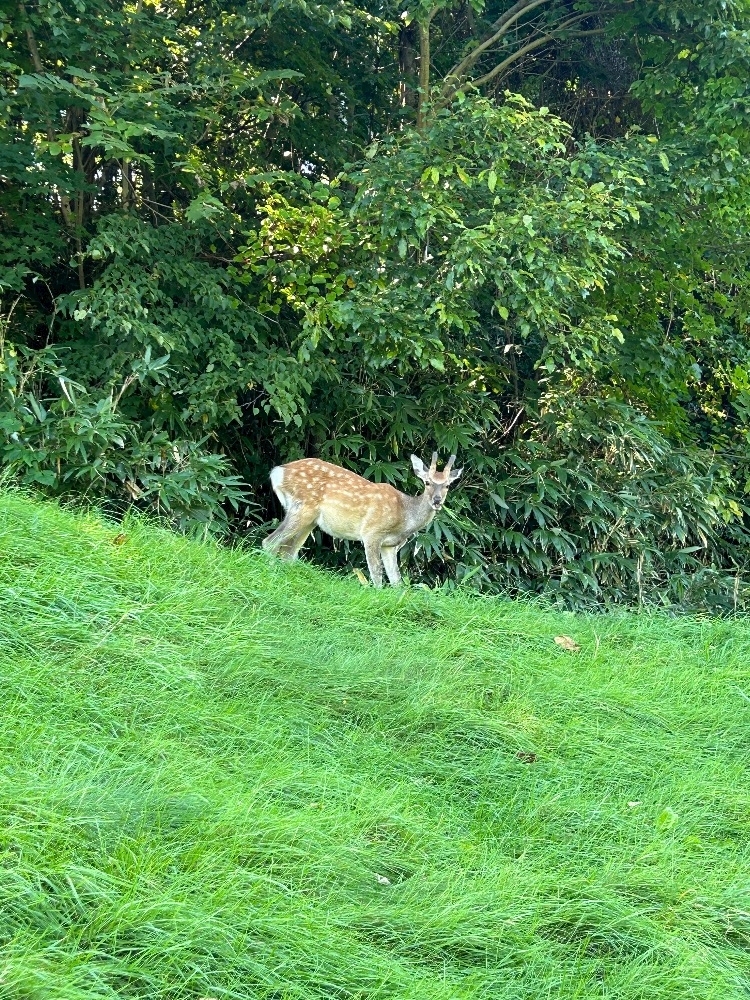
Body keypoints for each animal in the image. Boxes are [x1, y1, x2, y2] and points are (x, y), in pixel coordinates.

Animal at [264, 454, 464, 584]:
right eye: (427, 482)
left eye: (448, 485)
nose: (437, 500)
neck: (404, 516)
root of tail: (277, 472)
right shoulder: (372, 532)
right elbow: (376, 574)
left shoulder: (390, 545)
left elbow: (397, 581)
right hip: (302, 507)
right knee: (270, 542)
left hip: (309, 520)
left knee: (288, 552)